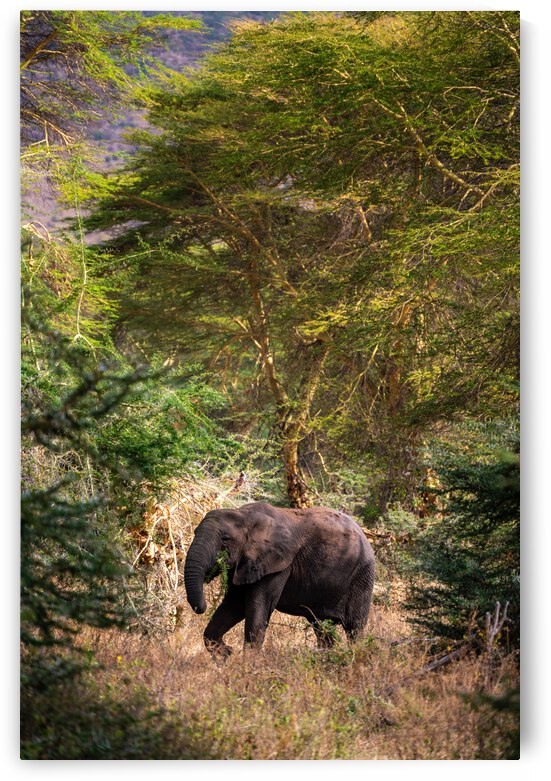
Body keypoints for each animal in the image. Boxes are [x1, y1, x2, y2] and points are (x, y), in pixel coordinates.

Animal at [184, 501, 375, 656]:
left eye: (225, 539)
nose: (202, 607)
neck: (244, 515)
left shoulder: (279, 565)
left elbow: (257, 610)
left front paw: (247, 668)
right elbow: (233, 605)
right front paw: (226, 656)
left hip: (362, 575)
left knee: (354, 627)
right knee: (321, 627)